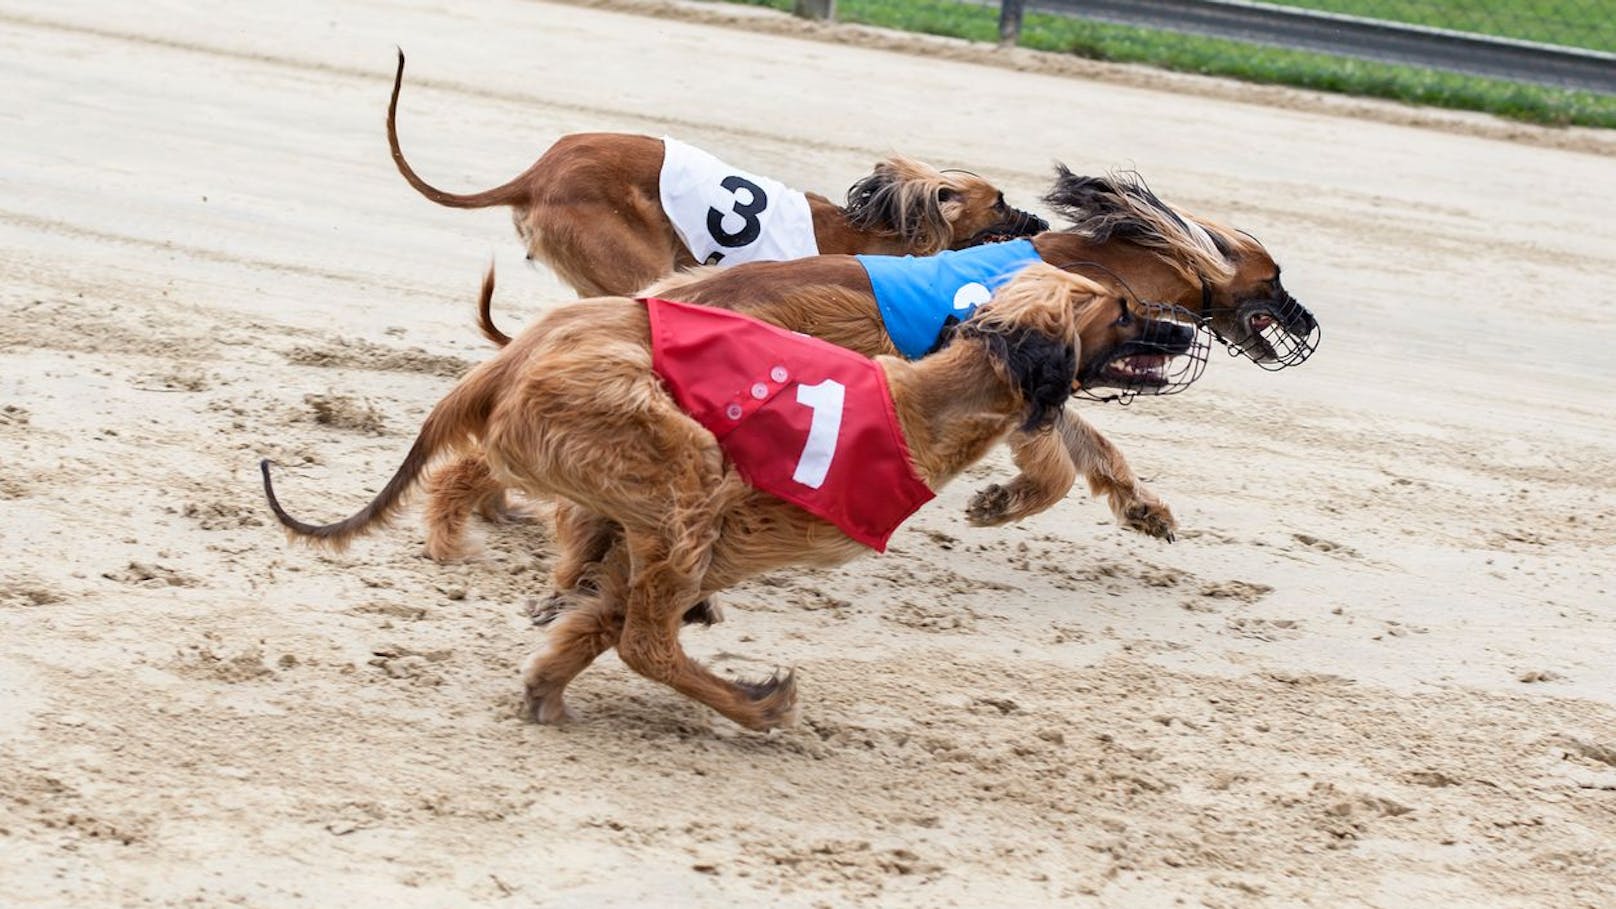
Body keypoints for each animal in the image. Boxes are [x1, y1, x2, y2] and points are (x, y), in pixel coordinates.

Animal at [258, 262, 1208, 727]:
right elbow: (631, 624)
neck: (926, 403)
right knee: (650, 641)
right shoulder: (713, 530)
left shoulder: (657, 545)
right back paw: (756, 705)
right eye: (1124, 310)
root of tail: (510, 359)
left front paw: (546, 678)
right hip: (681, 463)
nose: (1184, 329)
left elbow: (595, 609)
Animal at [429, 163, 1312, 559]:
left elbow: (1098, 452)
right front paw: (999, 504)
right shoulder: (1026, 384)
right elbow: (1057, 466)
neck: (1104, 265)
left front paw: (1145, 508)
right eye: (1274, 277)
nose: (1310, 324)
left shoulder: (1048, 385)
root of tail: (676, 292)